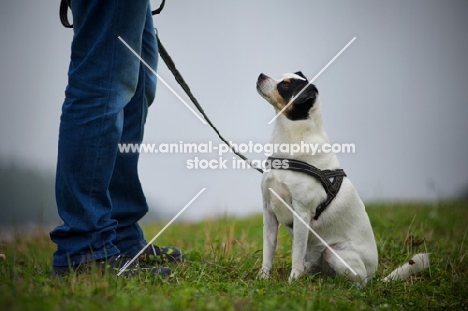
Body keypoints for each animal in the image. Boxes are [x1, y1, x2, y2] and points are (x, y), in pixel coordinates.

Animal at [256, 72, 428, 288]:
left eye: (285, 85)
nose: (261, 75)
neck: (290, 142)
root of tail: (373, 277)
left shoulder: (301, 213)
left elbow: (296, 253)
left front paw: (292, 281)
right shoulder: (268, 210)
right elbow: (268, 251)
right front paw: (263, 278)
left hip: (335, 254)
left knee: (356, 283)